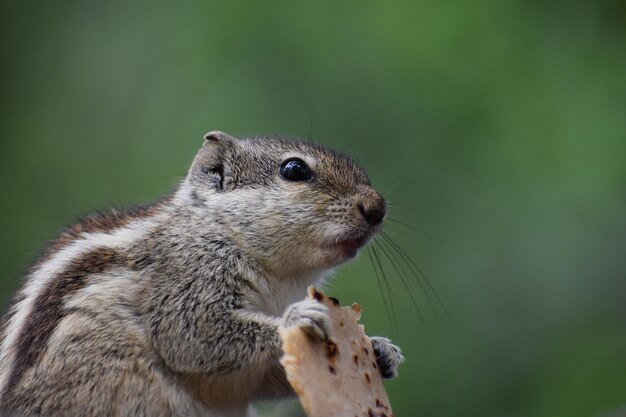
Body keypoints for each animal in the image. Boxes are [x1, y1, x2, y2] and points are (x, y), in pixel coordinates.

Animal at [0, 131, 402, 416]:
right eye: (294, 170)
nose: (377, 207)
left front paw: (381, 350)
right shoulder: (187, 276)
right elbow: (193, 335)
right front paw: (296, 318)